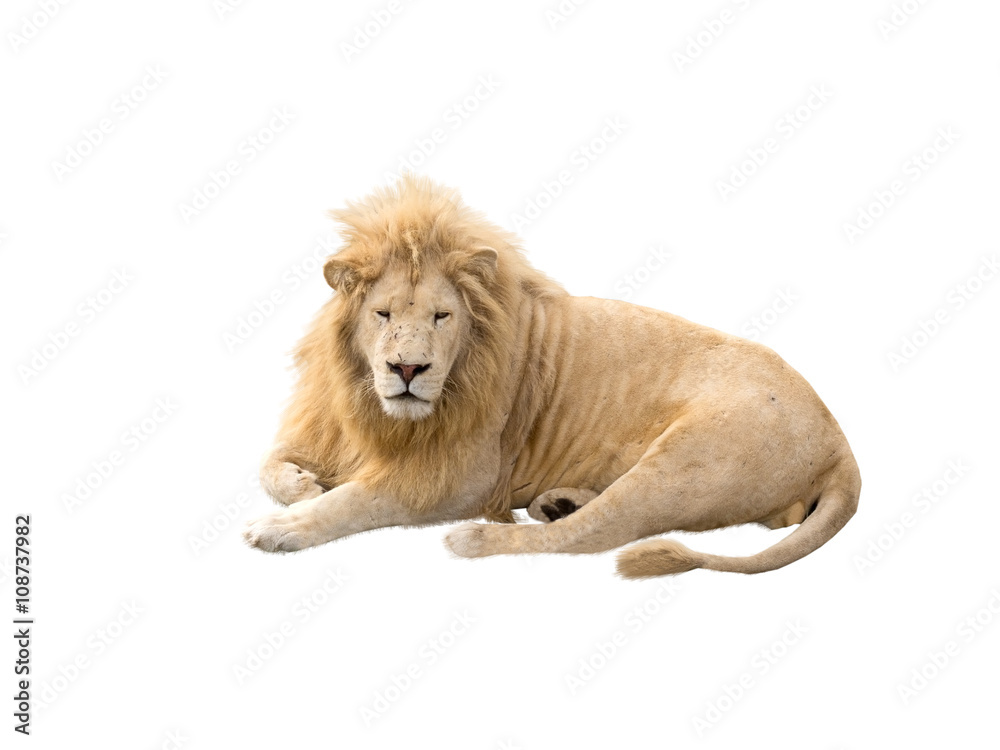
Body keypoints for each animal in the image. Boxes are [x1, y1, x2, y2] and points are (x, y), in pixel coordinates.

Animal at [243, 174, 861, 577]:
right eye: (383, 314)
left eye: (441, 316)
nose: (408, 368)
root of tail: (840, 443)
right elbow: (269, 465)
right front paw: (302, 485)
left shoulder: (463, 476)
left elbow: (356, 500)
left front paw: (282, 527)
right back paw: (559, 501)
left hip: (686, 462)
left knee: (594, 535)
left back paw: (481, 537)